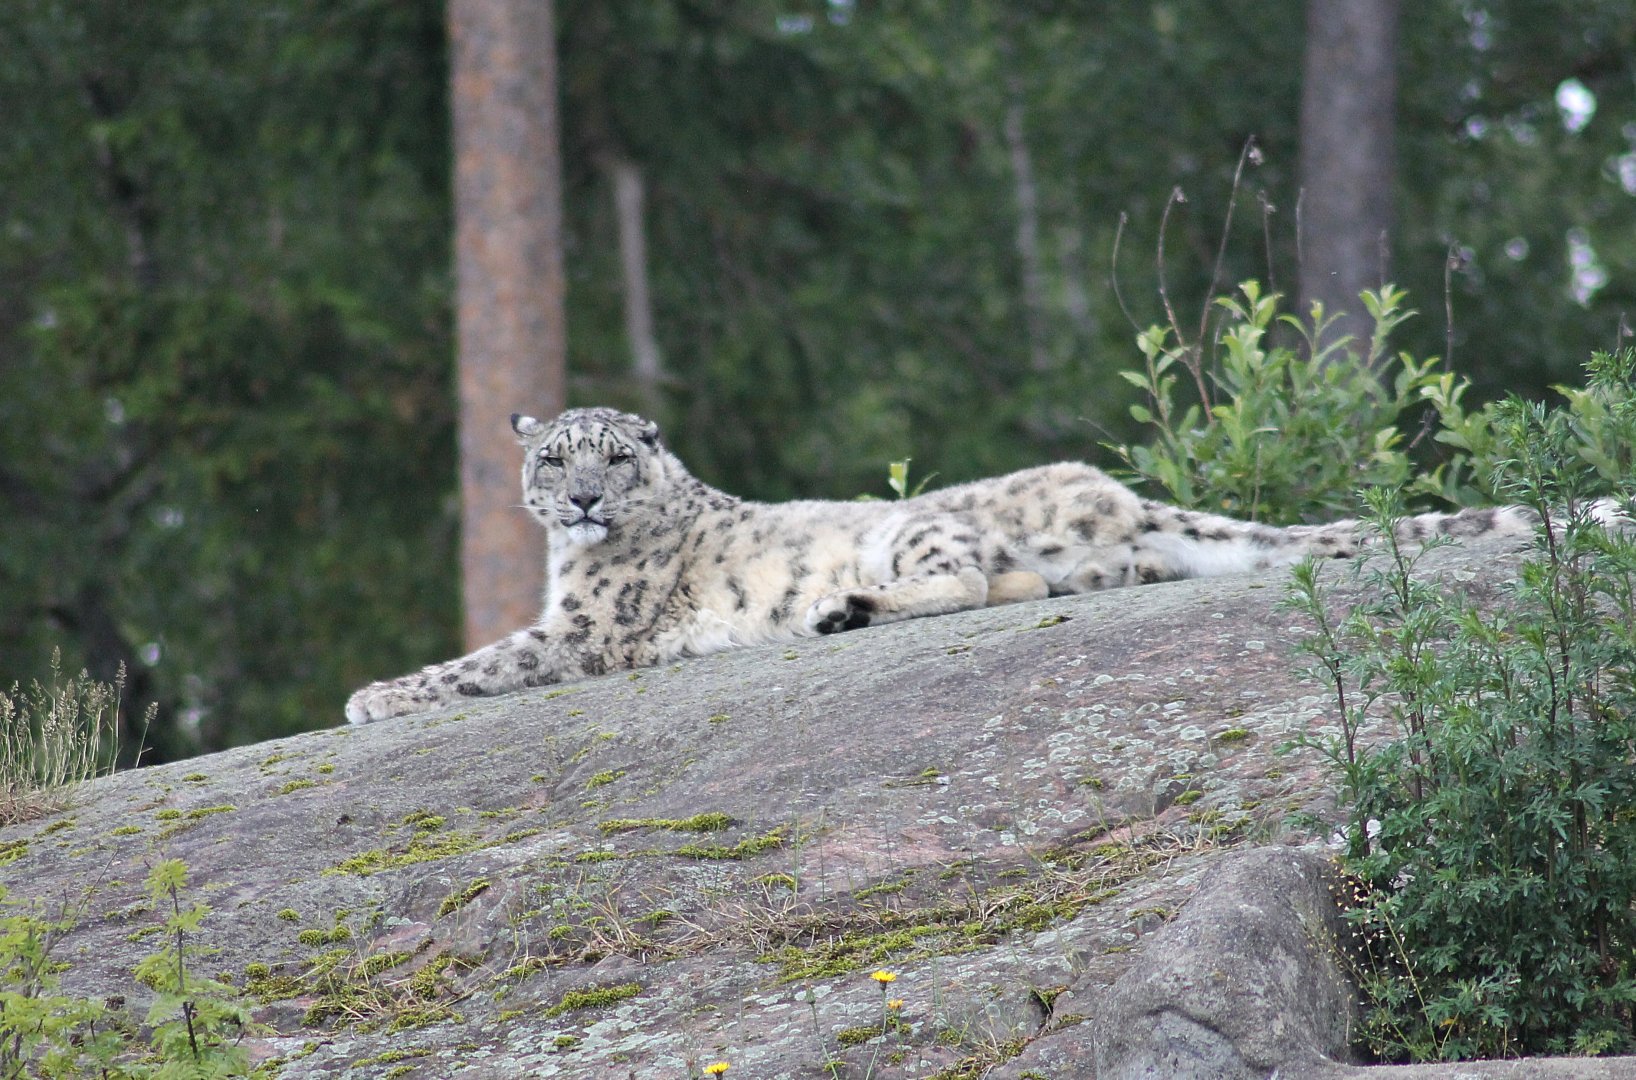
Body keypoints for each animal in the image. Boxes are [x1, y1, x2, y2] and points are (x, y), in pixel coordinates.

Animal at [345, 406, 1549, 723]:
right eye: (553, 457)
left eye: (614, 458)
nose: (586, 500)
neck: (566, 562)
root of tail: (1115, 494)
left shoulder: (590, 627)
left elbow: (485, 661)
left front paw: (372, 695)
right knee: (1030, 583)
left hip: (922, 526)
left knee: (972, 577)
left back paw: (840, 606)